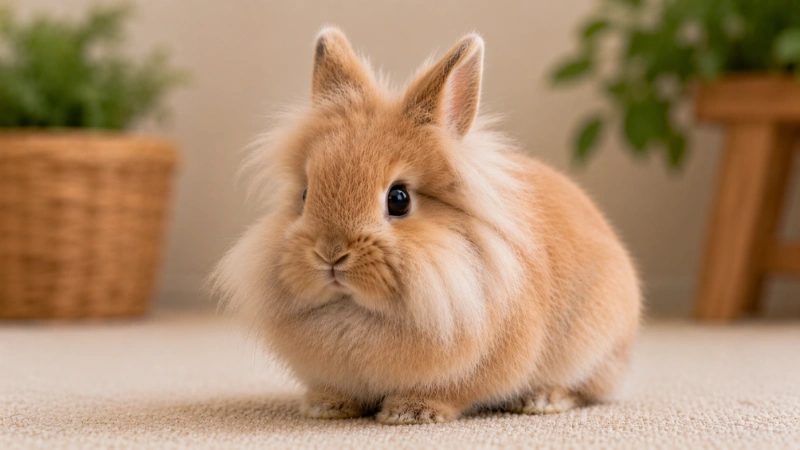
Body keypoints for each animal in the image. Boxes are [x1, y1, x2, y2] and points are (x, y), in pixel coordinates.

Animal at [212, 27, 641, 425]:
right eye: (304, 194)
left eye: (399, 199)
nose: (330, 254)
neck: (354, 313)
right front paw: (326, 407)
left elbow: (453, 390)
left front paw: (409, 412)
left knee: (586, 388)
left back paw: (541, 399)